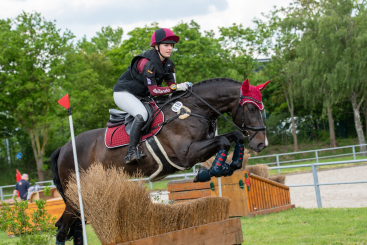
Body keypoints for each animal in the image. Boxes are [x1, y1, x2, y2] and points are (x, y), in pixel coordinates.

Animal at [50, 77, 270, 243]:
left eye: (262, 109)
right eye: (251, 109)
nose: (262, 144)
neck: (192, 109)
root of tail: (63, 148)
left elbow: (235, 136)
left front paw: (228, 167)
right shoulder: (186, 154)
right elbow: (224, 140)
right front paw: (208, 172)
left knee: (71, 227)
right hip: (75, 196)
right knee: (62, 229)